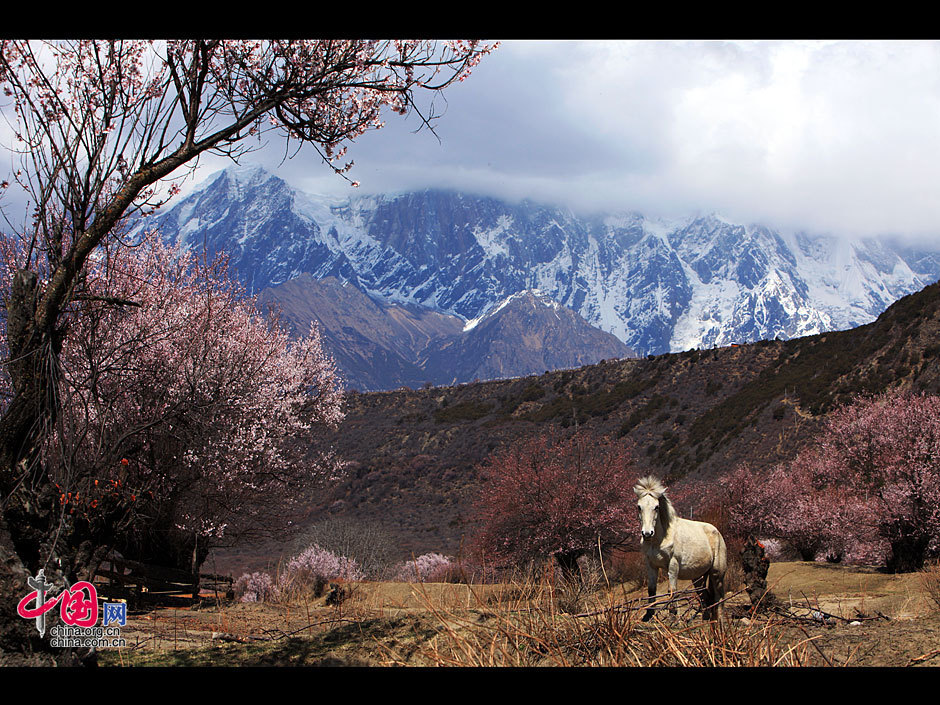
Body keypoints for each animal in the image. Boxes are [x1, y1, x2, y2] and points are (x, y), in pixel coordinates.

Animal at [636, 476, 732, 620]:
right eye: (639, 507)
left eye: (656, 507)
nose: (647, 533)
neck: (659, 539)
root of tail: (718, 533)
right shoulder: (651, 565)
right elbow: (651, 589)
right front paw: (648, 615)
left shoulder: (673, 565)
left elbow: (672, 590)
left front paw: (672, 615)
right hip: (699, 577)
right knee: (706, 598)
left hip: (717, 574)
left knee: (718, 598)